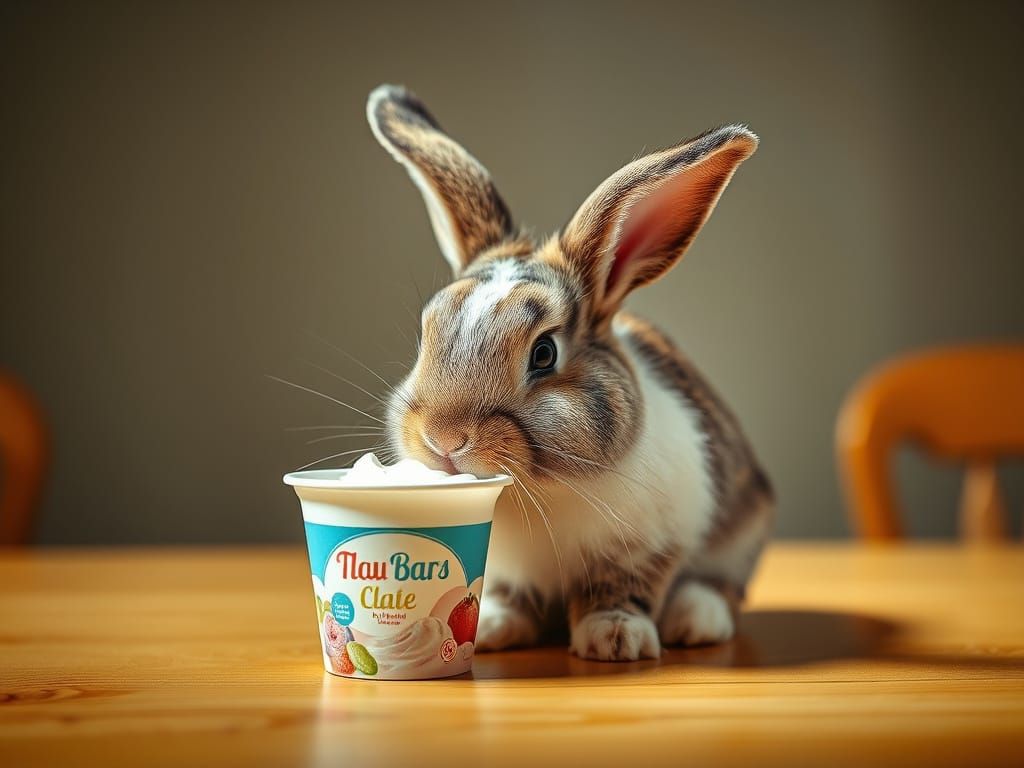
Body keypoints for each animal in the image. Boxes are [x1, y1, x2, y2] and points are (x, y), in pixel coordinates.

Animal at [366, 84, 773, 661]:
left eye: (544, 353)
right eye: (427, 333)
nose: (443, 440)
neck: (539, 488)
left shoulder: (650, 543)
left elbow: (622, 587)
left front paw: (616, 639)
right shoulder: (508, 567)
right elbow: (506, 592)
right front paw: (493, 627)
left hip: (744, 532)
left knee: (724, 588)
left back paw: (696, 618)